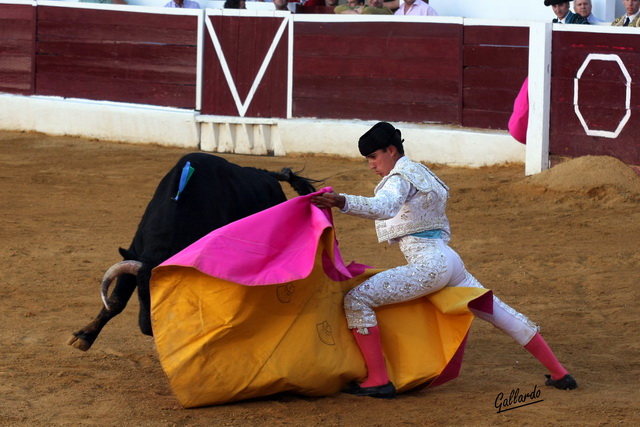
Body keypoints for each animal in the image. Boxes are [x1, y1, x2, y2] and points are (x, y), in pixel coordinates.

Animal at [68, 153, 318, 352]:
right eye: (141, 292)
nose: (148, 328)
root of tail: (267, 176)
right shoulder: (135, 254)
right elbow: (116, 300)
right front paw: (84, 337)